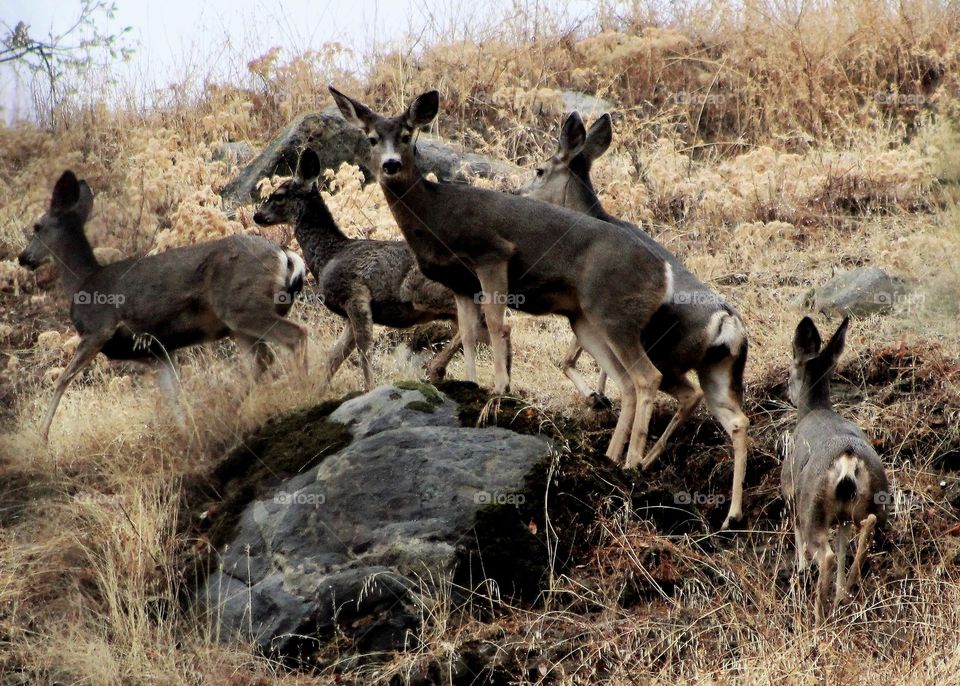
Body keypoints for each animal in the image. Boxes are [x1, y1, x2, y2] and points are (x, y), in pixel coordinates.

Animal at [18, 170, 307, 441]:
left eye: (37, 226)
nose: (23, 257)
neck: (83, 282)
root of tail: (285, 254)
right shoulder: (158, 351)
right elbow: (173, 395)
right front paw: (188, 434)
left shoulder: (97, 330)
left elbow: (62, 379)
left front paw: (42, 437)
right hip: (239, 323)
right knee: (262, 361)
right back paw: (230, 411)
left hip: (243, 308)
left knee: (295, 336)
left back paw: (303, 388)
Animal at [253, 147, 489, 390]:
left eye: (278, 196)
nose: (257, 216)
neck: (329, 256)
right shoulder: (349, 313)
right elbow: (336, 355)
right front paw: (320, 390)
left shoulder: (354, 294)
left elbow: (363, 349)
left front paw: (369, 388)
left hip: (425, 291)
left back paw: (437, 370)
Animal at [329, 86, 679, 479]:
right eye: (372, 138)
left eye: (406, 135)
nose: (390, 165)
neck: (438, 215)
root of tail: (664, 274)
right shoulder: (460, 282)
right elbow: (468, 332)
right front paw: (470, 383)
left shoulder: (492, 254)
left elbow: (496, 324)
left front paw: (499, 389)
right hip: (587, 320)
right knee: (627, 381)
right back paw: (612, 456)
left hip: (616, 313)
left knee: (648, 377)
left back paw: (632, 462)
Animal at [519, 112, 750, 529]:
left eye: (539, 169)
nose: (517, 193)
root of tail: (728, 323)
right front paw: (599, 398)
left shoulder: (593, 307)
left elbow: (571, 358)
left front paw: (596, 399)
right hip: (717, 372)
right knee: (732, 418)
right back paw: (730, 514)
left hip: (669, 356)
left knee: (663, 388)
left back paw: (634, 462)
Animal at [782, 316, 889, 621]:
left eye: (789, 372)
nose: (788, 393)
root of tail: (848, 459)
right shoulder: (840, 519)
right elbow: (842, 547)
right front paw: (840, 590)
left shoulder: (789, 489)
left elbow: (797, 532)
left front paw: (801, 568)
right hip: (870, 499)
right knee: (868, 525)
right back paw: (848, 586)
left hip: (813, 507)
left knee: (825, 554)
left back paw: (818, 615)